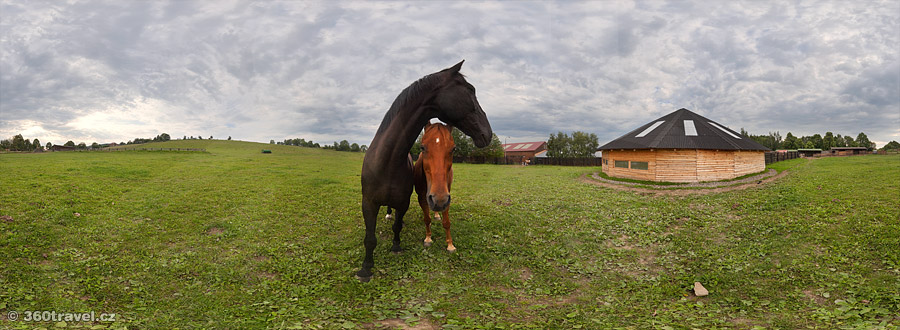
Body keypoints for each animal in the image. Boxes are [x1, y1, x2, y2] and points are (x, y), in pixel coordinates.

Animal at [414, 122, 458, 251]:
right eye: (422, 147)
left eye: (453, 149)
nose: (439, 200)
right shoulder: (422, 198)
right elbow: (427, 219)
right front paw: (428, 238)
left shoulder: (447, 198)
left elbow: (446, 222)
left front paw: (450, 244)